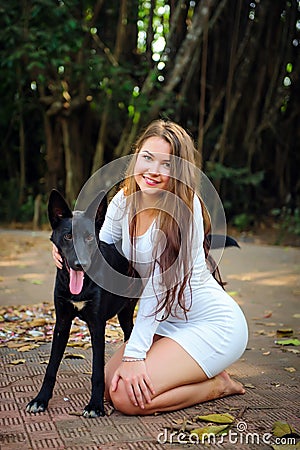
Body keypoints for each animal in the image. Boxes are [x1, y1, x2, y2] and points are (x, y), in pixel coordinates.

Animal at [27, 190, 139, 418]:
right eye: (68, 236)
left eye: (89, 238)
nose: (81, 264)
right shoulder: (61, 323)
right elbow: (51, 367)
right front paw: (40, 399)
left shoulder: (97, 325)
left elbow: (97, 370)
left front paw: (95, 405)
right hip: (124, 314)